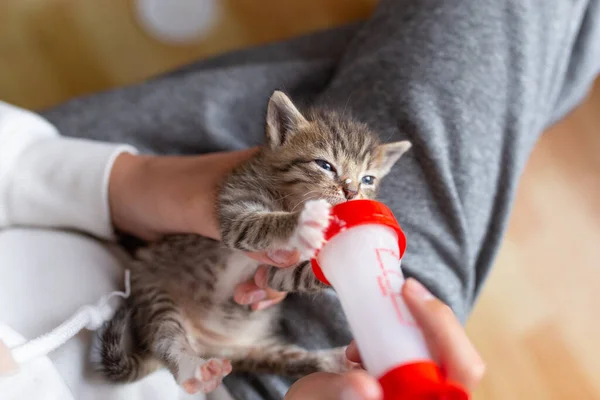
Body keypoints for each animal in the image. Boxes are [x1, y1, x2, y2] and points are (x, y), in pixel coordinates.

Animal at [99, 90, 412, 394]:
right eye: (325, 165)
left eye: (368, 179)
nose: (352, 191)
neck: (285, 197)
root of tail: (205, 342)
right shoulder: (234, 213)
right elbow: (263, 223)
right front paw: (303, 221)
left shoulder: (270, 272)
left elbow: (291, 276)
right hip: (155, 296)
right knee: (166, 339)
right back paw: (193, 370)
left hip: (256, 350)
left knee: (291, 361)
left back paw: (337, 361)